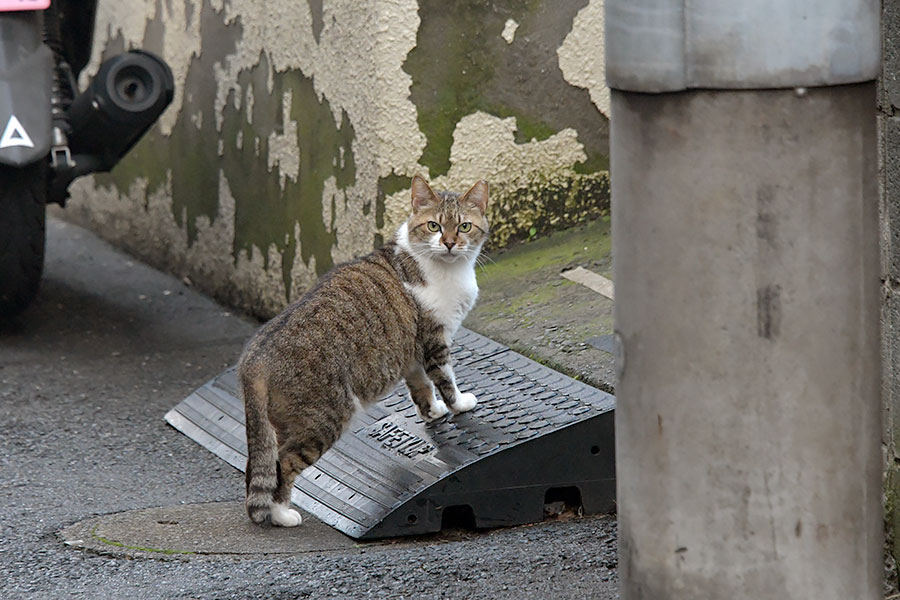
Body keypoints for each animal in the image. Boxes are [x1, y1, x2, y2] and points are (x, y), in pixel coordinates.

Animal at [236, 173, 488, 524]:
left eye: (464, 226)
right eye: (434, 226)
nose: (450, 243)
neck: (447, 269)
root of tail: (253, 359)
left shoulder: (411, 355)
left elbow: (421, 387)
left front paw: (432, 411)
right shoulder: (434, 341)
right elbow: (445, 379)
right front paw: (459, 405)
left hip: (278, 425)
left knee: (258, 464)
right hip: (324, 418)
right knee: (283, 464)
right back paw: (282, 514)